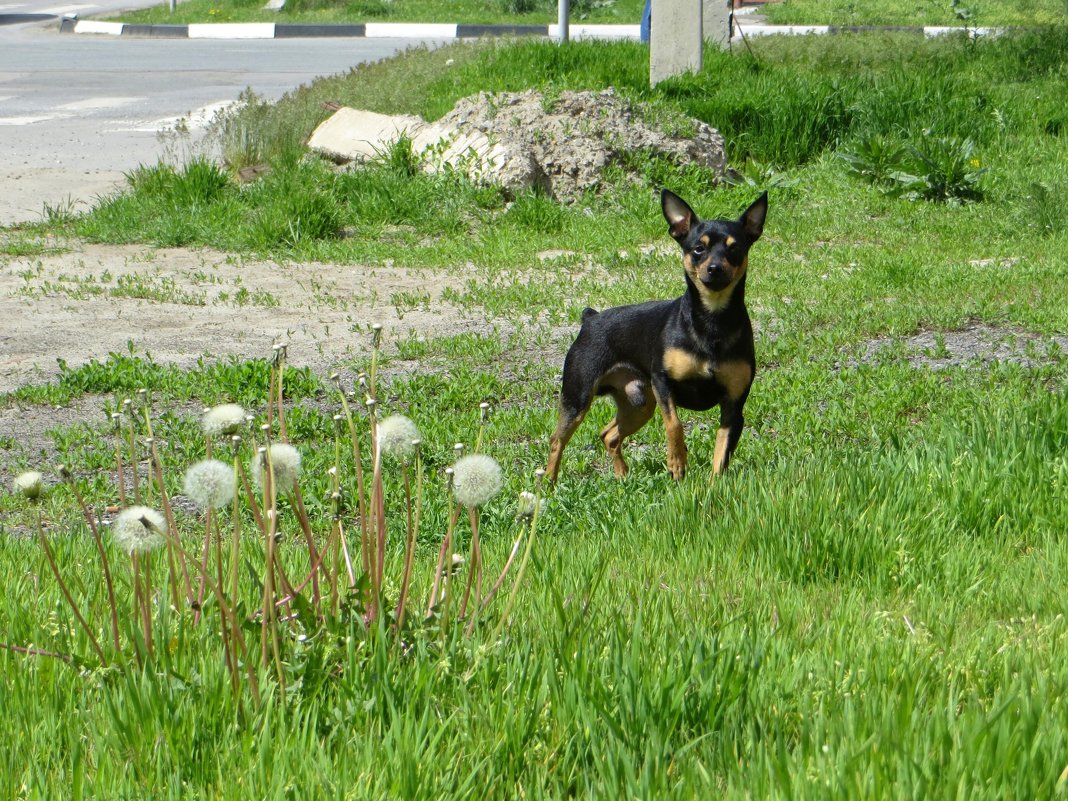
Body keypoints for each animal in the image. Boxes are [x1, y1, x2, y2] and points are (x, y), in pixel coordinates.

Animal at [546, 190, 764, 482]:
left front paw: (713, 486)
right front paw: (677, 462)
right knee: (557, 441)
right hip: (578, 397)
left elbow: (721, 454)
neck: (712, 320)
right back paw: (548, 483)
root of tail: (590, 318)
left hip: (639, 405)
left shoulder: (733, 406)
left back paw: (622, 477)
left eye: (735, 248)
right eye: (698, 249)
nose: (715, 268)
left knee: (609, 435)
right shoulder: (662, 383)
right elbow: (674, 424)